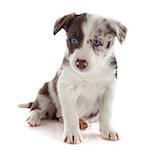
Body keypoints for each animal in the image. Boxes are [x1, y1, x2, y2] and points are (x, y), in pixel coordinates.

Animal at [18, 12, 126, 144]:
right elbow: (71, 113)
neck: (90, 74)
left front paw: (108, 131)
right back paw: (34, 118)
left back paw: (81, 121)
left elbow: (106, 112)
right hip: (46, 92)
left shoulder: (109, 88)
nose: (80, 63)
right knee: (39, 108)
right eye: (74, 40)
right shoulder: (66, 87)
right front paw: (72, 134)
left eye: (98, 42)